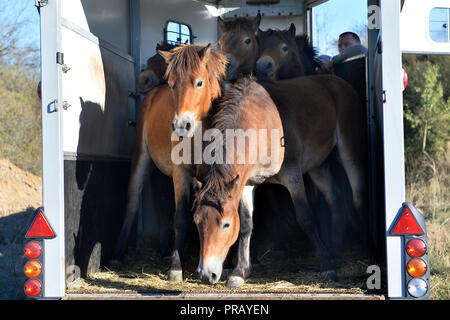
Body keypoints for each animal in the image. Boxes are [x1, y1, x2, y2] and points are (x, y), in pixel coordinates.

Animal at [109, 44, 229, 282]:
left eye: (199, 82)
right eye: (172, 84)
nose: (181, 125)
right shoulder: (181, 172)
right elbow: (181, 217)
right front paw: (176, 267)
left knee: (162, 204)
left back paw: (165, 250)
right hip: (142, 160)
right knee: (133, 203)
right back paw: (118, 254)